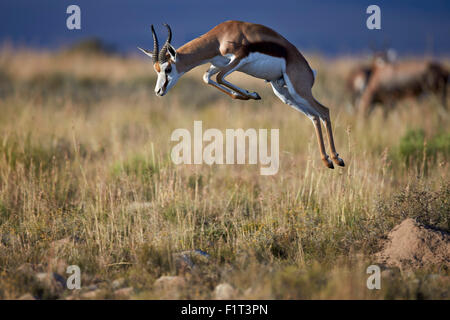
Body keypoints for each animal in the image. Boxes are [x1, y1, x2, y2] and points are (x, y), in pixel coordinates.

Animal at [139, 20, 346, 168]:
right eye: (156, 69)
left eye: (167, 68)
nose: (158, 91)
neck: (219, 37)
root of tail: (310, 71)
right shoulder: (218, 64)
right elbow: (207, 78)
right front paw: (250, 94)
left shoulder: (238, 59)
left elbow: (219, 78)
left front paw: (251, 94)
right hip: (285, 94)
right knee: (314, 116)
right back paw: (327, 161)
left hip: (298, 90)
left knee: (324, 110)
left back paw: (337, 159)